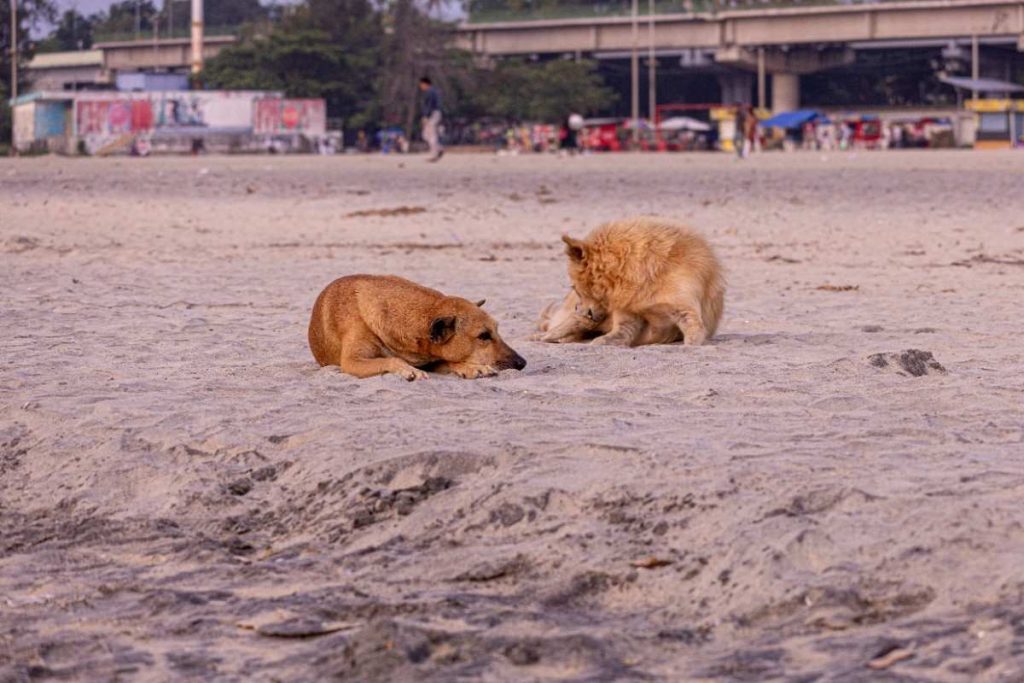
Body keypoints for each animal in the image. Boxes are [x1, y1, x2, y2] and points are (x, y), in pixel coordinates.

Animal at [307, 276, 524, 382]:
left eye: (497, 330)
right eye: (483, 336)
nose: (523, 363)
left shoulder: (431, 358)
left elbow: (449, 361)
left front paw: (471, 367)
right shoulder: (352, 362)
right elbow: (392, 360)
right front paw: (408, 370)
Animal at [544, 218, 729, 348]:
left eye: (575, 287)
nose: (578, 309)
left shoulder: (685, 310)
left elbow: (693, 333)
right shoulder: (627, 314)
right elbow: (619, 332)